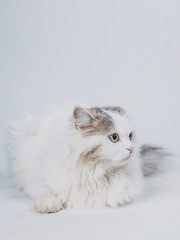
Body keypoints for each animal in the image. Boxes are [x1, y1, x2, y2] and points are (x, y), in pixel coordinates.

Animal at [7, 103, 167, 214]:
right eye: (114, 137)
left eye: (130, 136)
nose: (131, 149)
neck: (97, 172)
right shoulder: (36, 180)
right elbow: (45, 192)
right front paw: (49, 204)